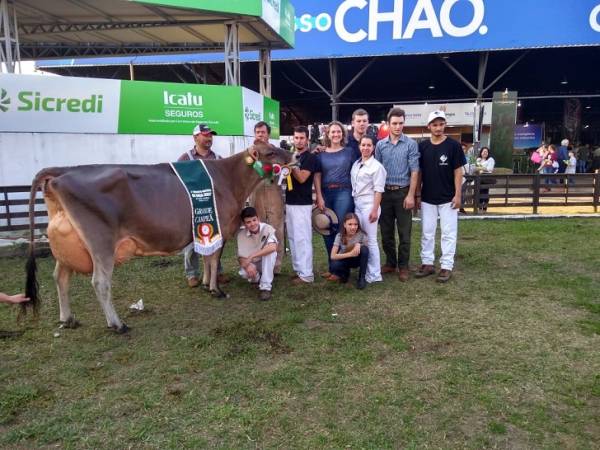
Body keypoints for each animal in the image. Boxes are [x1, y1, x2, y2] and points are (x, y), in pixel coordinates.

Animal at [24, 142, 292, 332]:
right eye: (270, 152)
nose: (292, 155)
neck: (229, 179)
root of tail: (64, 172)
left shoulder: (208, 228)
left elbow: (206, 259)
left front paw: (206, 284)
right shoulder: (220, 227)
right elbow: (214, 259)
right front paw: (216, 289)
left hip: (68, 245)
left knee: (60, 277)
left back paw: (68, 319)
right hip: (100, 242)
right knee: (100, 282)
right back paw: (117, 325)